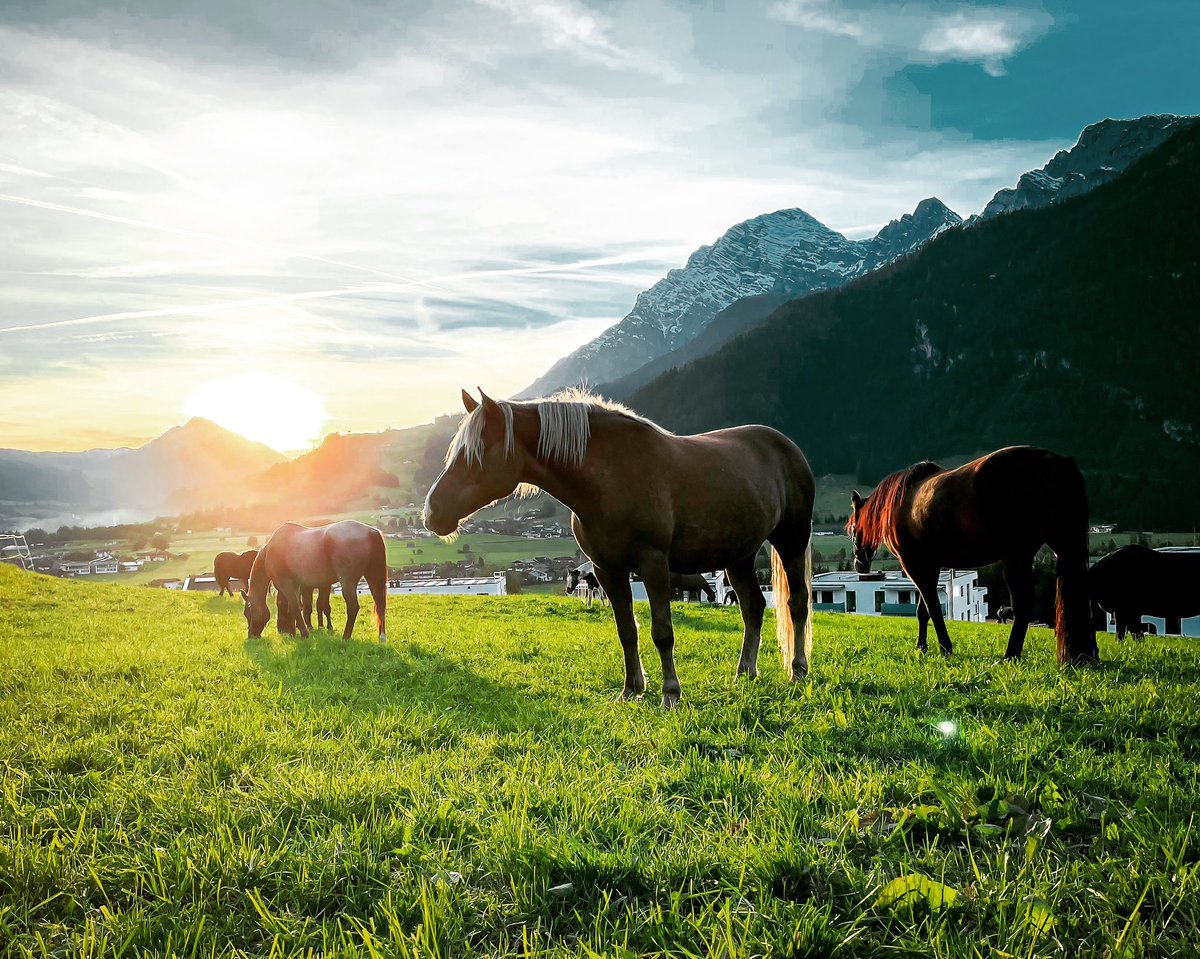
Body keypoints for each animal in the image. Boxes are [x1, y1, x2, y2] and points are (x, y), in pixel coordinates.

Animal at [242, 521, 387, 643]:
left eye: (248, 612)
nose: (251, 636)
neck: (271, 551)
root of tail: (371, 532)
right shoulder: (296, 585)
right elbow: (292, 606)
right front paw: (293, 633)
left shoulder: (286, 584)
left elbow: (294, 606)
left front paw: (303, 633)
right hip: (373, 578)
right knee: (380, 605)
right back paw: (382, 637)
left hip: (348, 582)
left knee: (353, 607)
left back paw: (346, 636)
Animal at [424, 388, 815, 706]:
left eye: (474, 454)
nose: (432, 512)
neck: (611, 476)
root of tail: (789, 448)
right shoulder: (607, 570)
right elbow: (627, 631)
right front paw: (631, 690)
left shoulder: (653, 565)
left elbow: (662, 632)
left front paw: (670, 693)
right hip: (740, 555)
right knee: (753, 607)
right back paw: (744, 672)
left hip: (791, 541)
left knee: (796, 602)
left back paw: (798, 671)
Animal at [847, 446, 1097, 665]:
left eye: (852, 530)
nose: (859, 564)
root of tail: (1057, 461)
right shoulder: (931, 566)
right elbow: (922, 611)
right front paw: (921, 647)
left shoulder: (915, 566)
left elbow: (933, 608)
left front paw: (945, 648)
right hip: (1063, 547)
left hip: (1017, 556)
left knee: (1023, 604)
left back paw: (1010, 656)